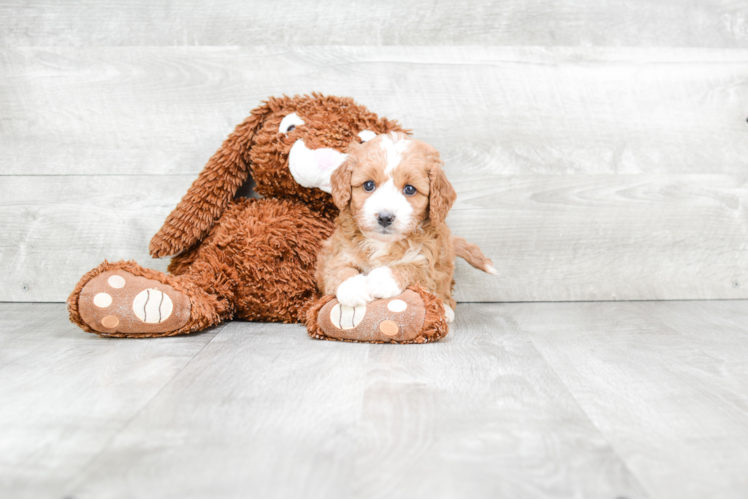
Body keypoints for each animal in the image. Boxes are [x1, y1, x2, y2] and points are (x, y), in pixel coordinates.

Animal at [314, 131, 494, 322]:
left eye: (409, 189)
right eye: (368, 185)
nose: (385, 217)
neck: (383, 243)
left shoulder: (430, 260)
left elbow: (415, 269)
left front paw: (382, 279)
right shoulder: (337, 251)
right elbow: (336, 268)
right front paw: (353, 287)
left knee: (444, 288)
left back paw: (445, 309)